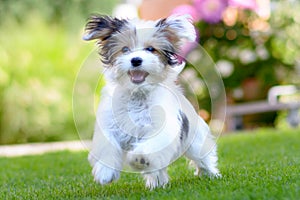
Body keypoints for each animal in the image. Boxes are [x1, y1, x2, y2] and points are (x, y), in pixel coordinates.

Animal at [82, 14, 220, 189]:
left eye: (150, 49)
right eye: (125, 49)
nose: (135, 60)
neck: (138, 94)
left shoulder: (161, 127)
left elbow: (153, 144)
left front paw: (140, 158)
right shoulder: (109, 124)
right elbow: (107, 145)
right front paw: (105, 172)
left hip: (196, 141)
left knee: (203, 157)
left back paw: (211, 174)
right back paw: (158, 183)